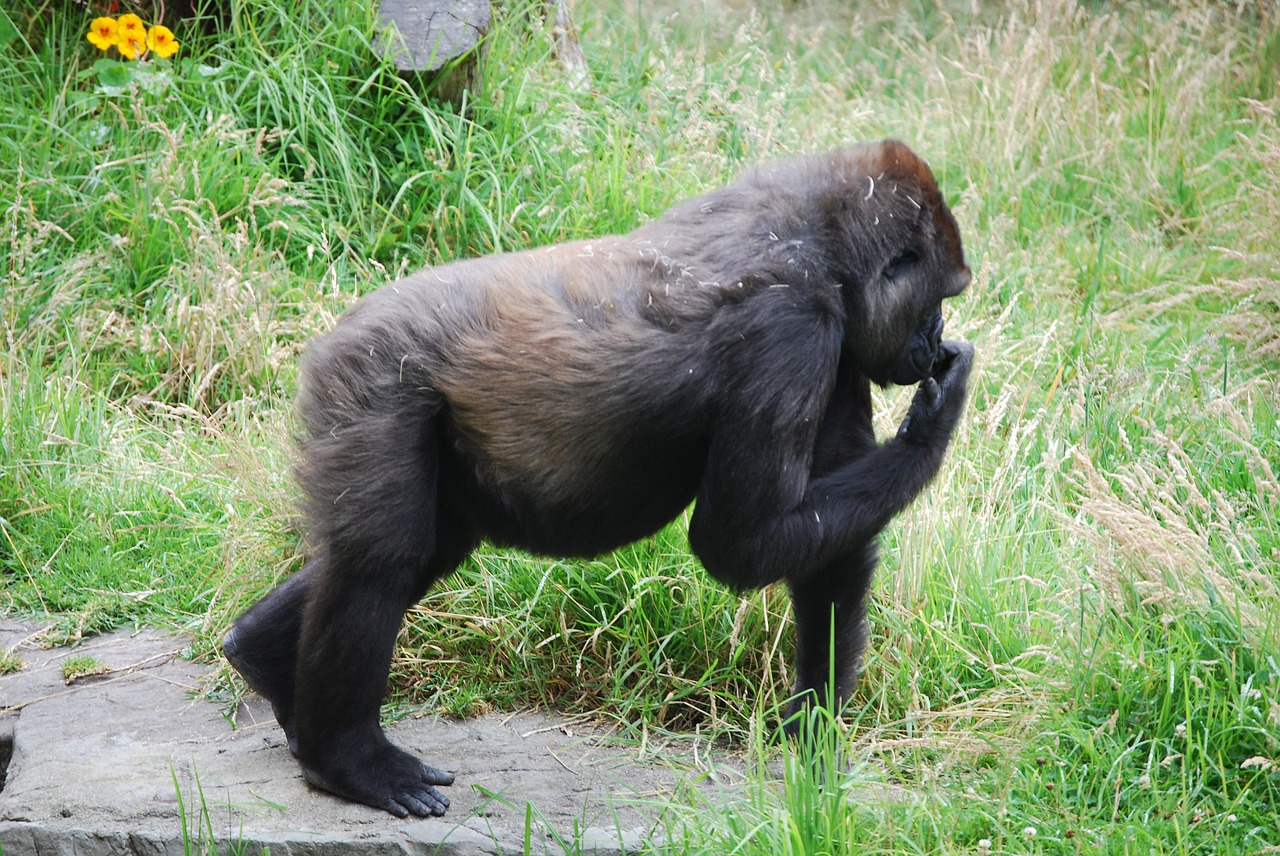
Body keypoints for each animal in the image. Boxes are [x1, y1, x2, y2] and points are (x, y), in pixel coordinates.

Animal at [225, 138, 972, 813]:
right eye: (937, 295)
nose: (935, 336)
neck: (821, 240)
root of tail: (333, 331)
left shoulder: (839, 347)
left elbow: (828, 555)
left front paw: (814, 730)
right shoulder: (794, 329)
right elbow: (740, 541)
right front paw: (931, 425)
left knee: (421, 546)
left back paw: (263, 659)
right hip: (372, 378)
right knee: (380, 561)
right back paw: (350, 760)